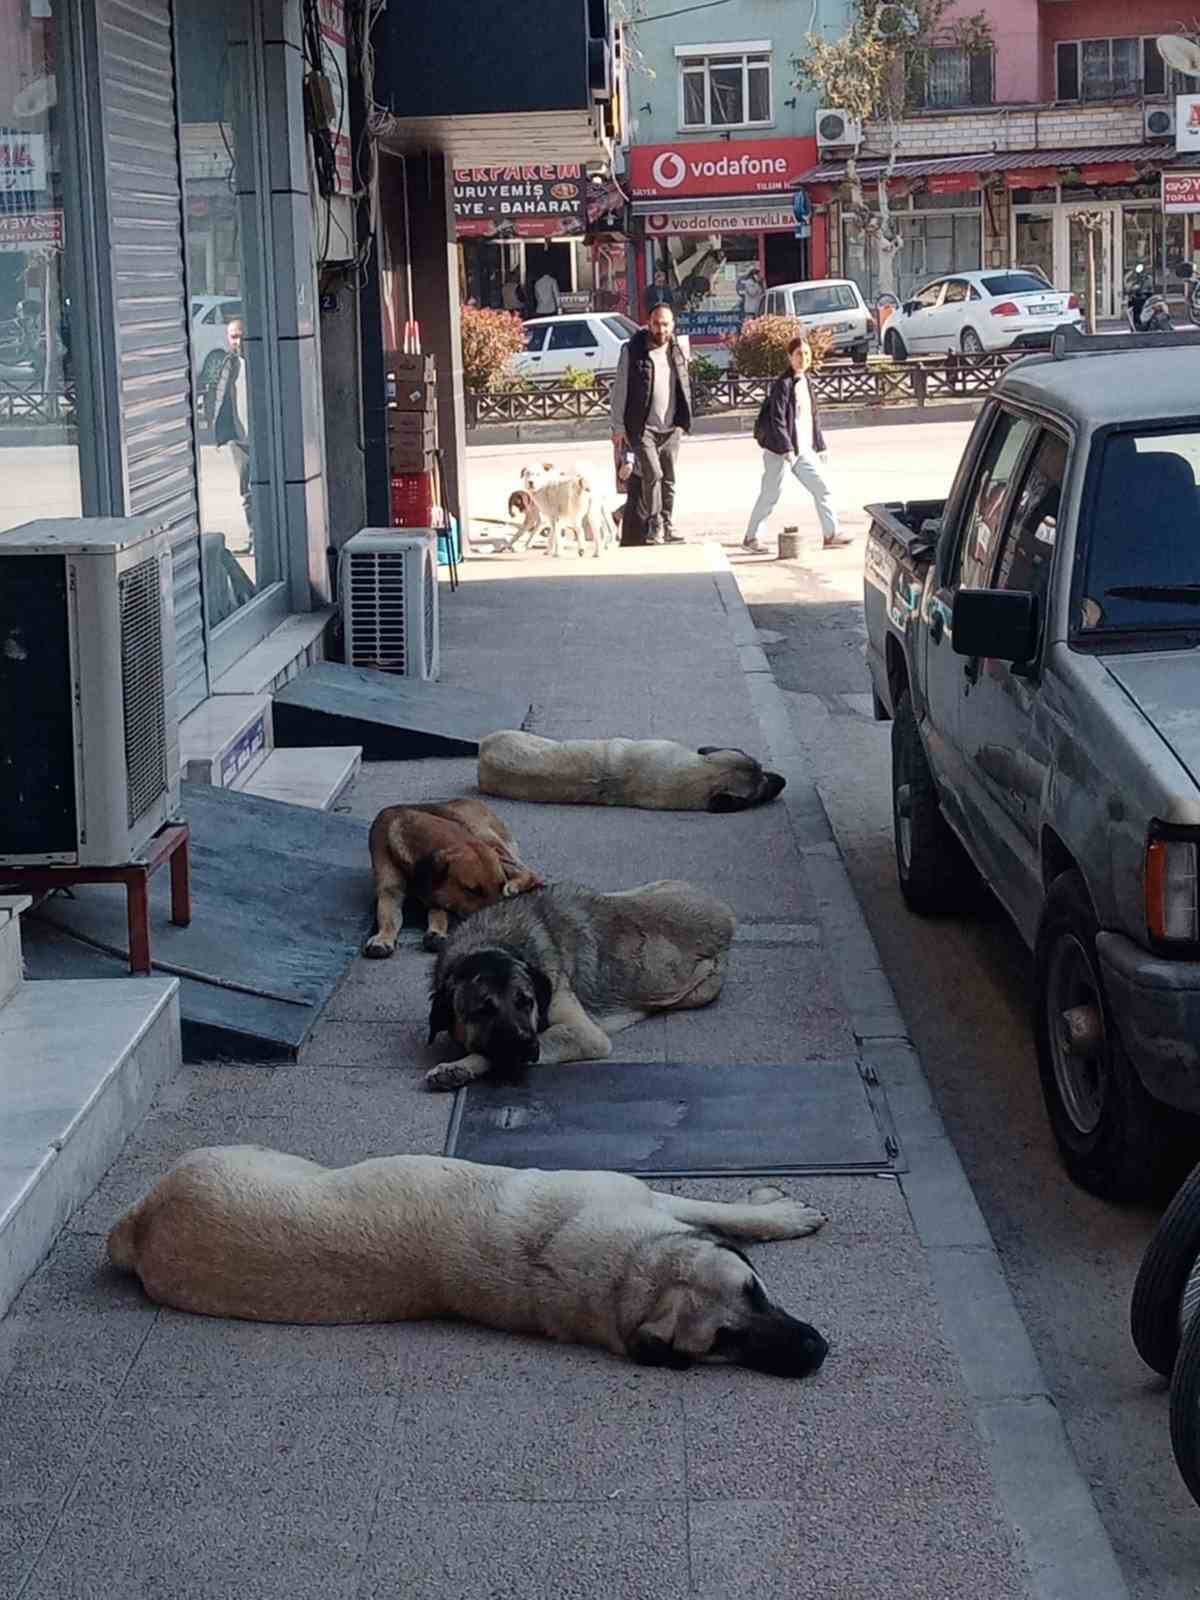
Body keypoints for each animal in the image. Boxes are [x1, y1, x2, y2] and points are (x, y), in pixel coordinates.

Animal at [108, 1145, 832, 1382]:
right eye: (723, 1341)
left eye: (756, 1291)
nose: (815, 1352)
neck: (628, 1272)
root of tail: (137, 1226)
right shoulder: (643, 1201)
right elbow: (716, 1207)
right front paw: (780, 1213)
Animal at [361, 796, 540, 953]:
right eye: (472, 890)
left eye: (499, 885)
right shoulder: (390, 891)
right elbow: (388, 916)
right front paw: (383, 937)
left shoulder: (439, 894)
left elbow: (439, 913)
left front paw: (436, 931)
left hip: (487, 838)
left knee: (530, 873)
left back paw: (514, 885)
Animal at [428, 883, 739, 1094]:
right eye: (483, 1010)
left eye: (526, 1001)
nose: (527, 1044)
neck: (494, 942)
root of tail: (727, 918)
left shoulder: (582, 1033)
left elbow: (495, 1055)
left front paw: (460, 1066)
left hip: (700, 991)